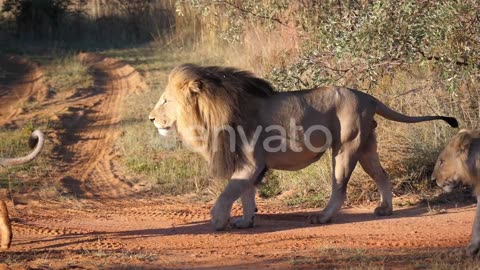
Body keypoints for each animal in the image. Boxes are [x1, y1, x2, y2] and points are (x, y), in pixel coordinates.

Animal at [149, 63, 458, 230]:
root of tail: (368, 97)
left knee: (339, 188)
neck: (209, 110)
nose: (151, 118)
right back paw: (385, 209)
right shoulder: (246, 165)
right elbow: (245, 194)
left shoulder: (250, 163)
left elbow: (228, 193)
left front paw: (216, 220)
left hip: (346, 147)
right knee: (382, 176)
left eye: (165, 100)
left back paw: (322, 217)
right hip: (367, 147)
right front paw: (245, 222)